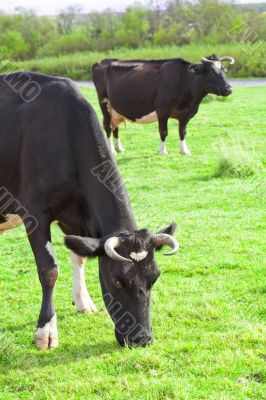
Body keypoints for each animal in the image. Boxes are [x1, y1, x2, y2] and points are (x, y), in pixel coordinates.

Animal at [0, 73, 179, 348]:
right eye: (116, 279)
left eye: (155, 277)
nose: (141, 339)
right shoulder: (35, 212)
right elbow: (49, 270)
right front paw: (46, 331)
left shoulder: (74, 217)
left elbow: (79, 255)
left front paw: (83, 302)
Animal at [92, 55, 234, 155]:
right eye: (212, 72)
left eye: (224, 70)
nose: (228, 89)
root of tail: (102, 61)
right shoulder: (162, 110)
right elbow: (163, 132)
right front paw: (162, 151)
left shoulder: (186, 114)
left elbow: (182, 132)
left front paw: (184, 151)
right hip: (104, 102)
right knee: (107, 126)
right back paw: (111, 150)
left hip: (115, 109)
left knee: (115, 126)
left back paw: (119, 148)